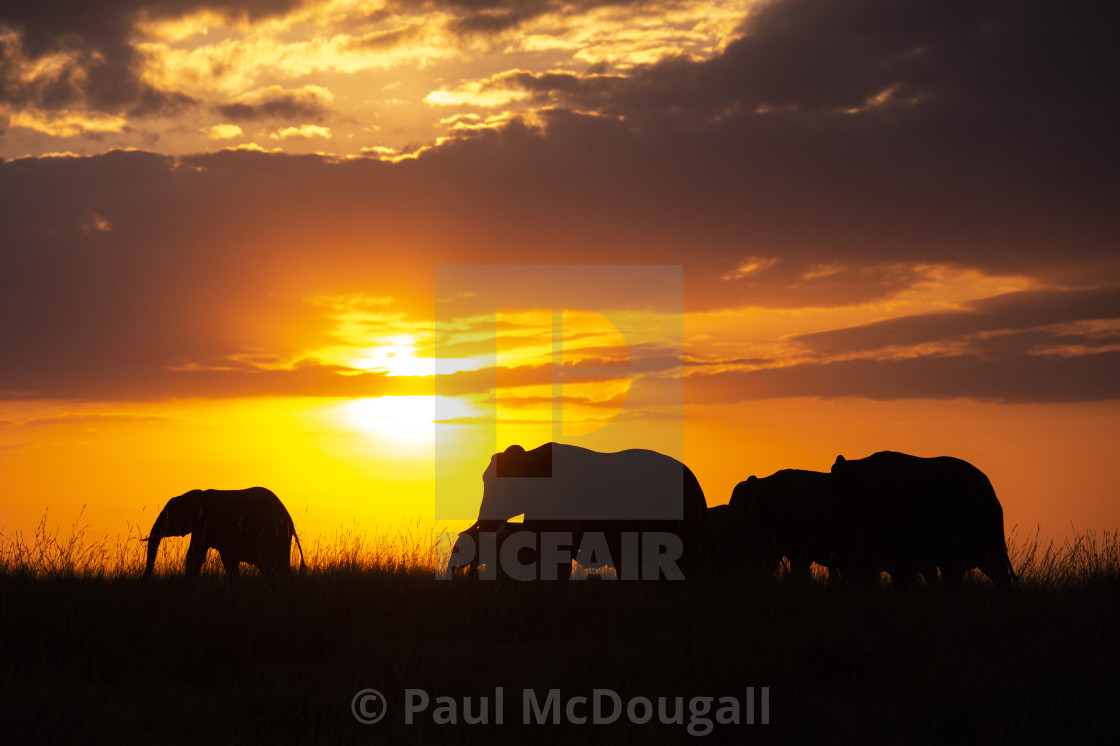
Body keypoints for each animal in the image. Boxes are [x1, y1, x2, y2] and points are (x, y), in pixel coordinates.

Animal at [140, 481, 306, 582]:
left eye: (167, 517)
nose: (144, 582)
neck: (198, 495)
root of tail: (289, 519)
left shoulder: (206, 523)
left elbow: (197, 555)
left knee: (270, 565)